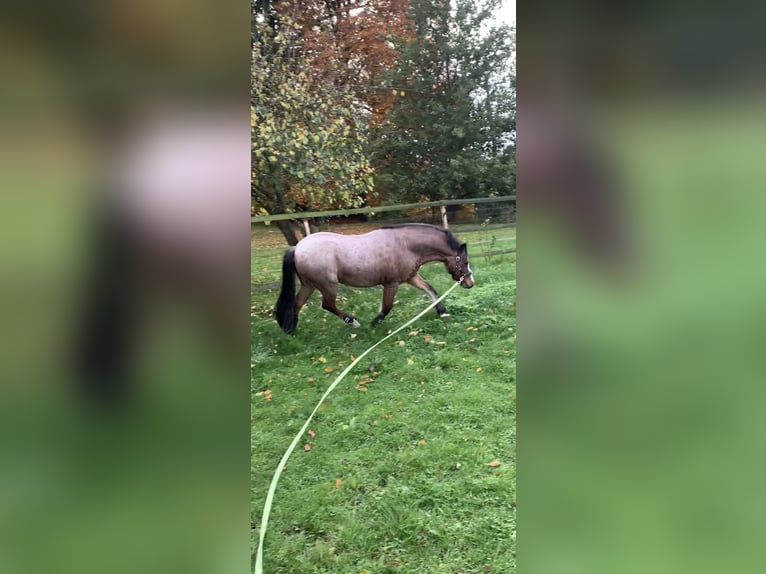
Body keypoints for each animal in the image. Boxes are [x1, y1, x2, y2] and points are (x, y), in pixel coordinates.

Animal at [272, 224, 476, 336]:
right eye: (464, 261)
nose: (470, 283)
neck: (405, 245)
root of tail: (297, 248)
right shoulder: (391, 283)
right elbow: (387, 306)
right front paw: (374, 322)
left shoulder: (411, 277)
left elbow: (431, 290)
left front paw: (443, 313)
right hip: (328, 285)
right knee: (327, 305)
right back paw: (352, 321)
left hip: (309, 285)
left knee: (297, 304)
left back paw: (290, 329)